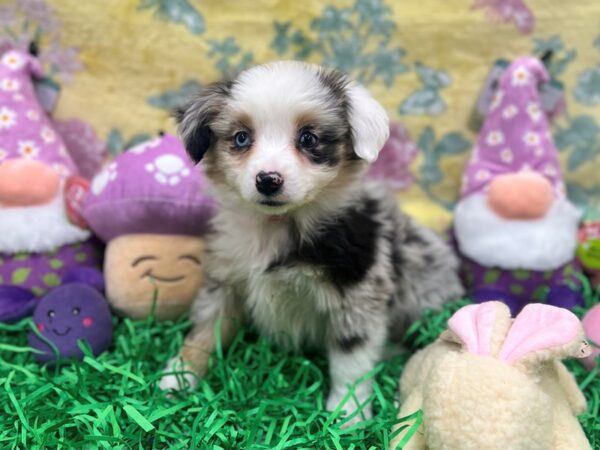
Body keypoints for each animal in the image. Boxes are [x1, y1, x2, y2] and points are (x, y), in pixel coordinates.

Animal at [159, 59, 464, 422]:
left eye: (308, 138)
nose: (268, 180)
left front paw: (348, 413)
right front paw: (180, 375)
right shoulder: (226, 279)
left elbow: (351, 358)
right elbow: (205, 329)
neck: (277, 225)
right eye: (241, 138)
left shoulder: (358, 293)